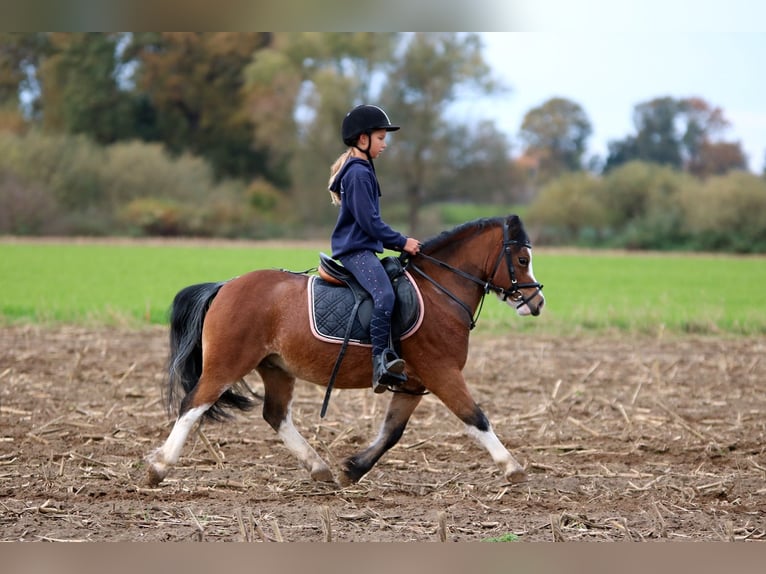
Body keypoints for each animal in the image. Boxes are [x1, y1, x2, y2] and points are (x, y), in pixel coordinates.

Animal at [144, 215, 545, 488]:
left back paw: (318, 467)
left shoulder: (414, 382)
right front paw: (512, 467)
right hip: (227, 364)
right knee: (193, 405)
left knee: (276, 415)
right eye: (522, 260)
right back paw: (159, 466)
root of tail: (225, 286)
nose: (537, 303)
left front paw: (353, 469)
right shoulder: (442, 372)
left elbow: (392, 431)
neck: (438, 291)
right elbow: (475, 418)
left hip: (276, 368)